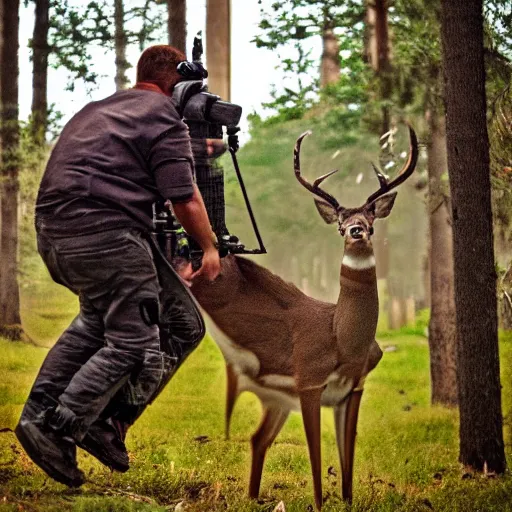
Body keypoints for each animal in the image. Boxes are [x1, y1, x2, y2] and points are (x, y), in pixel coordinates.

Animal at [190, 124, 418, 508]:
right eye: (341, 224)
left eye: (370, 221)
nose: (356, 230)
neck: (344, 341)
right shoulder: (309, 381)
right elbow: (316, 457)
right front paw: (320, 503)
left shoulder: (354, 388)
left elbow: (347, 460)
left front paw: (348, 501)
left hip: (278, 400)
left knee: (257, 438)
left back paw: (253, 498)